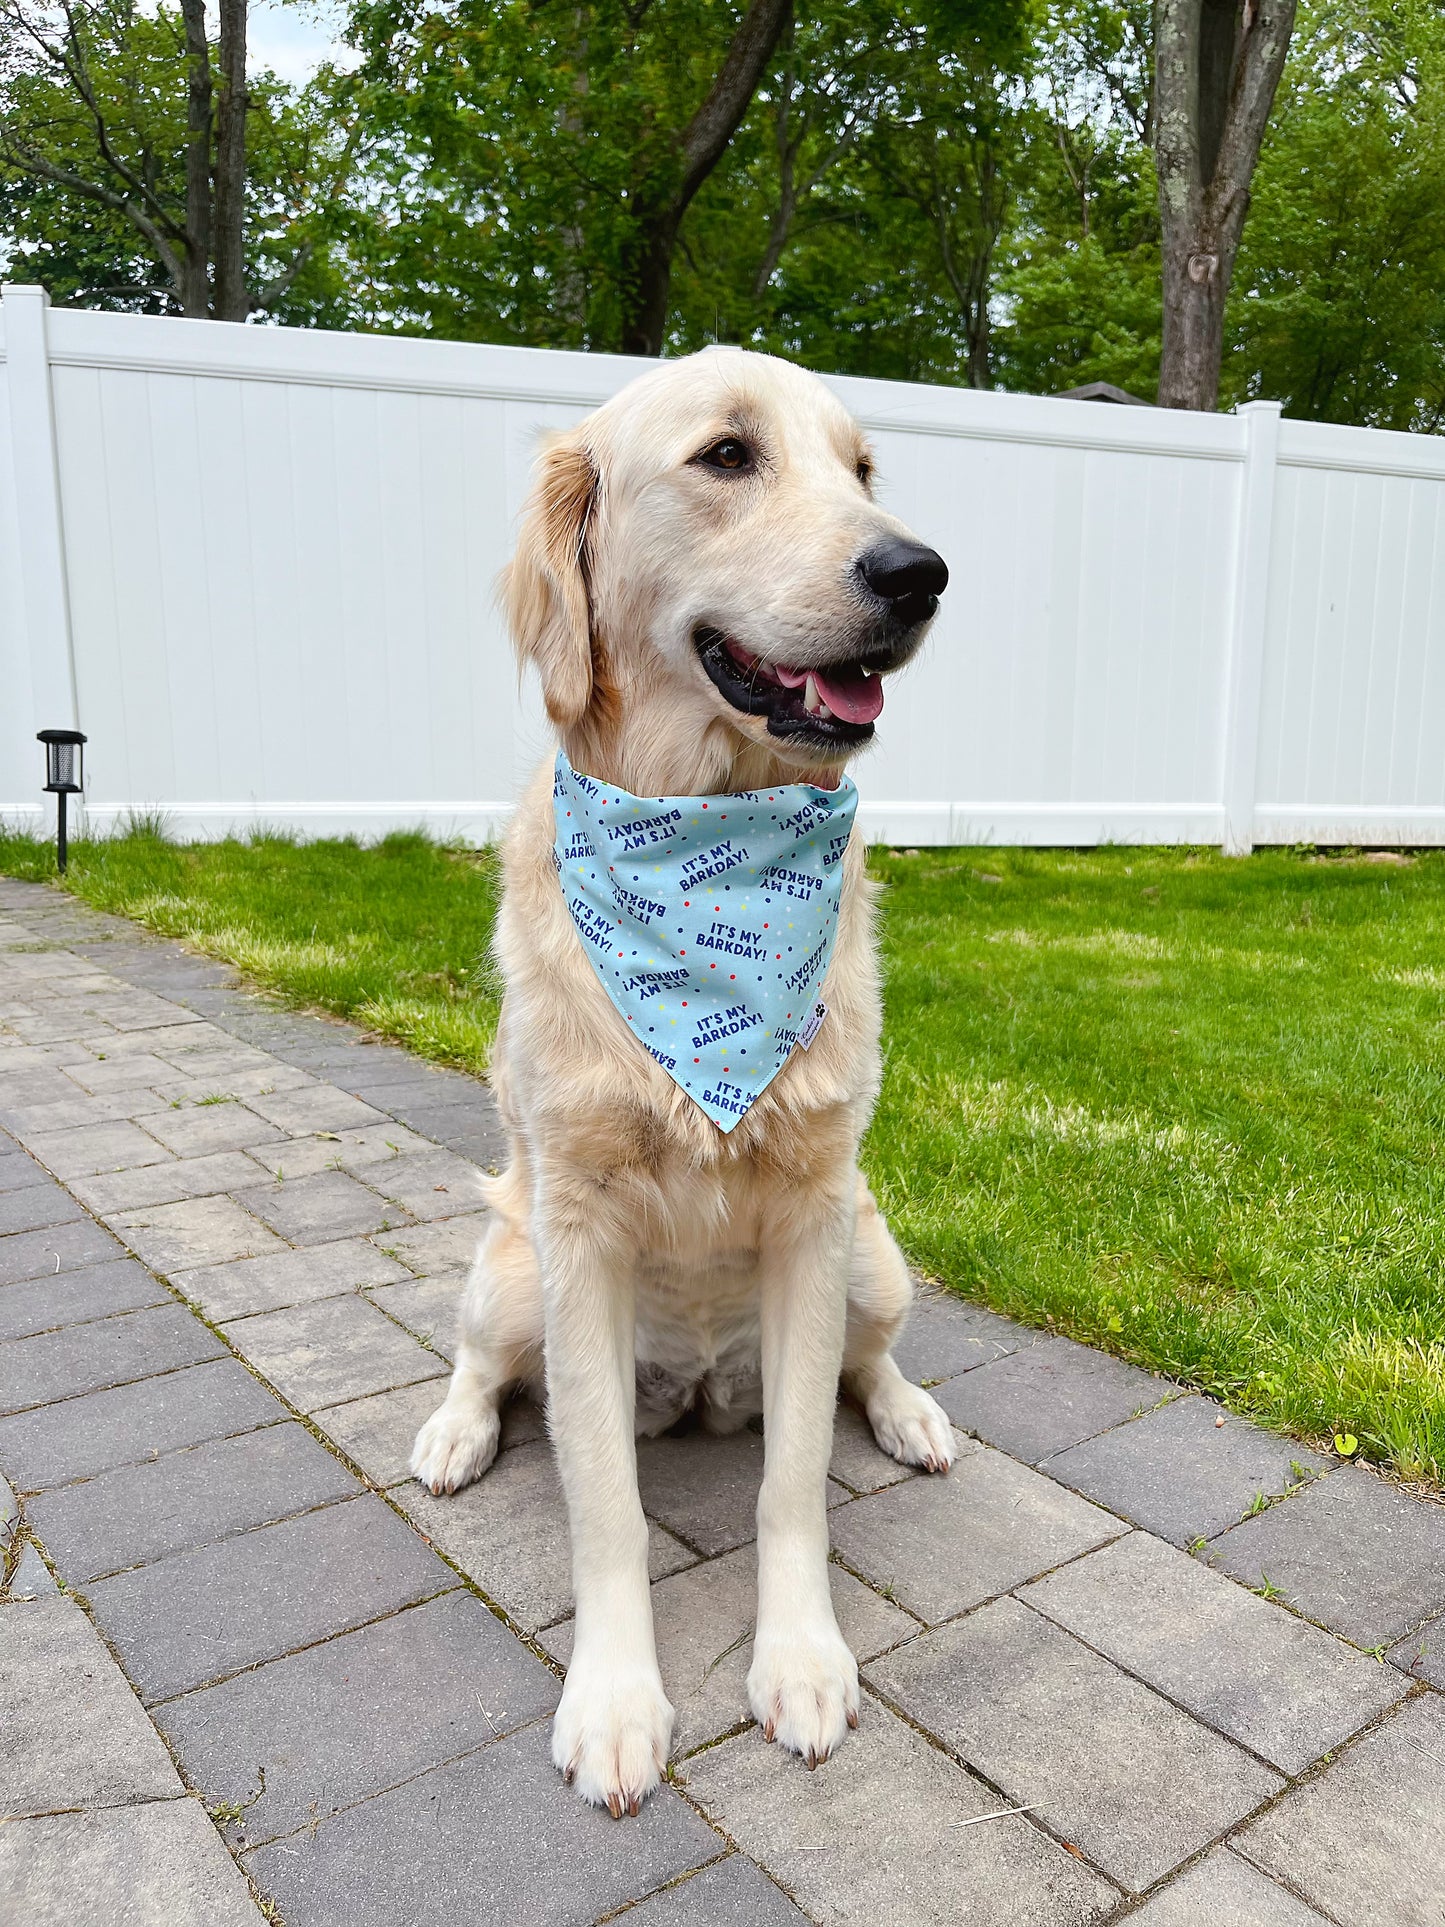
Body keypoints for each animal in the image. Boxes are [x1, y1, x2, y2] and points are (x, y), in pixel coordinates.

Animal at [416, 350, 963, 1819]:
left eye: (862, 469)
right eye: (727, 455)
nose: (919, 572)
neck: (708, 836)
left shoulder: (814, 1217)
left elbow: (794, 1485)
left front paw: (802, 1662)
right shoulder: (580, 1234)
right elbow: (602, 1500)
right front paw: (613, 1702)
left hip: (872, 1255)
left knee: (864, 1368)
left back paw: (911, 1412)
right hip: (511, 1268)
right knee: (481, 1365)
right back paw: (452, 1432)